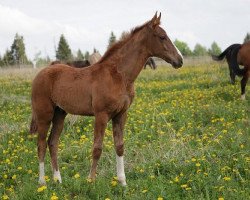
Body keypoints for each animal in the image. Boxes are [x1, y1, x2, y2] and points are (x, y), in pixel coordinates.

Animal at [30, 13, 184, 186]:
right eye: (162, 37)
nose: (179, 60)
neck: (119, 75)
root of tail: (41, 73)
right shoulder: (101, 115)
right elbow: (97, 148)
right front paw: (91, 180)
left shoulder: (121, 114)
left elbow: (120, 146)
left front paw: (123, 182)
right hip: (44, 115)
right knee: (41, 144)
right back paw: (42, 182)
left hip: (60, 113)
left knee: (53, 142)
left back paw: (58, 179)